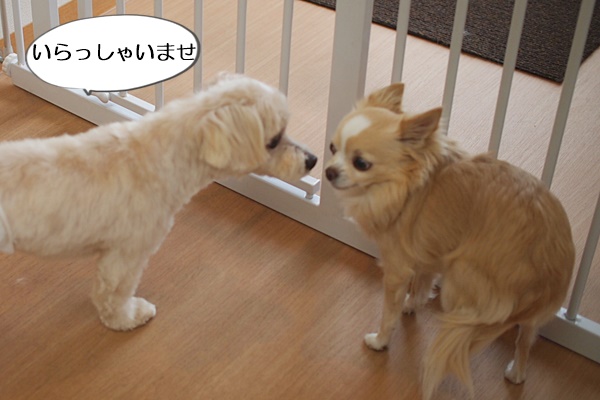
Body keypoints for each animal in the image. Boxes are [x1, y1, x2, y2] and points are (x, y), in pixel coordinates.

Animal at [0, 73, 317, 331]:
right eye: (273, 140)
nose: (313, 159)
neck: (158, 156)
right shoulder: (126, 252)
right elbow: (113, 294)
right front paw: (127, 318)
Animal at [324, 83, 574, 399]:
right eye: (332, 148)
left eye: (361, 163)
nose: (328, 170)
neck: (401, 185)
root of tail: (551, 267)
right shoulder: (429, 245)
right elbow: (422, 282)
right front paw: (412, 304)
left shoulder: (397, 267)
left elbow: (389, 312)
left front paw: (381, 340)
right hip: (528, 314)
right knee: (525, 338)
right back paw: (516, 373)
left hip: (461, 274)